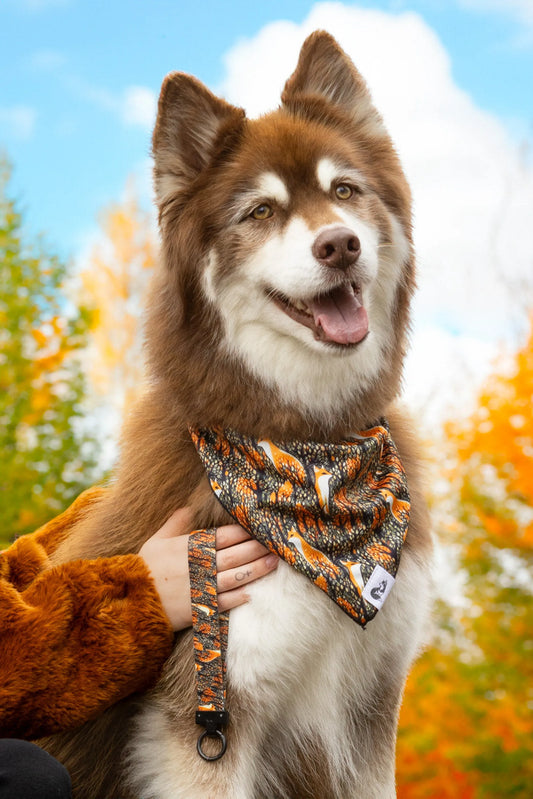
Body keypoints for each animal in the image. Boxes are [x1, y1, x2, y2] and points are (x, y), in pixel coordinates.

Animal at [43, 31, 430, 799]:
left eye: (343, 191)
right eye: (260, 212)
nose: (339, 243)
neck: (307, 447)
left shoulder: (372, 710)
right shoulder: (205, 715)